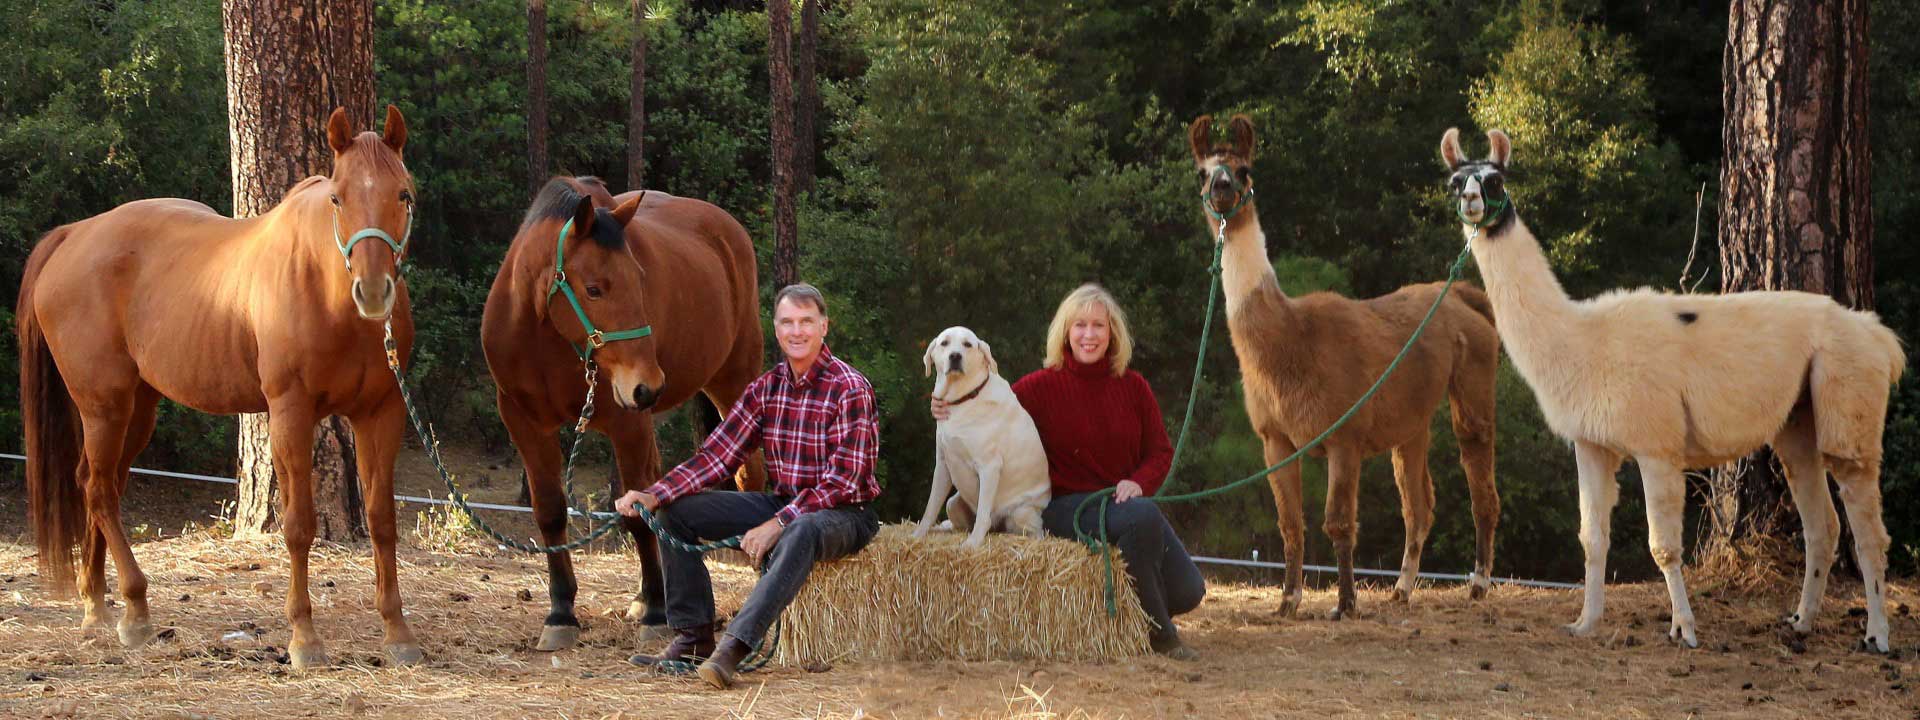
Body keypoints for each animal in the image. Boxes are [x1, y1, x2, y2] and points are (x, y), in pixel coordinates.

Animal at [19, 107, 424, 672]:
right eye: (338, 198)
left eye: (403, 193)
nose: (372, 291)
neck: (325, 290)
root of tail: (74, 234)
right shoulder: (290, 413)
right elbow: (299, 525)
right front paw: (304, 639)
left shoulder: (381, 414)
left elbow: (382, 519)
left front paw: (396, 632)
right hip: (104, 406)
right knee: (98, 491)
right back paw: (136, 610)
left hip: (137, 410)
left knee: (99, 486)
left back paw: (97, 607)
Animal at [480, 176, 764, 652]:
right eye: (594, 288)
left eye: (640, 280)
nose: (649, 385)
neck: (547, 341)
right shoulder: (524, 423)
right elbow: (550, 511)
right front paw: (561, 613)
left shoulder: (627, 423)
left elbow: (635, 514)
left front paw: (655, 614)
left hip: (733, 384)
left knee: (749, 477)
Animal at [913, 326, 1052, 545]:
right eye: (944, 343)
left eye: (967, 344)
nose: (955, 356)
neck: (962, 399)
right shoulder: (943, 464)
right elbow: (930, 507)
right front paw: (918, 535)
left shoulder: (989, 467)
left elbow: (982, 514)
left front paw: (973, 543)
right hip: (953, 503)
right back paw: (944, 528)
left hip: (1022, 513)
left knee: (1035, 531)